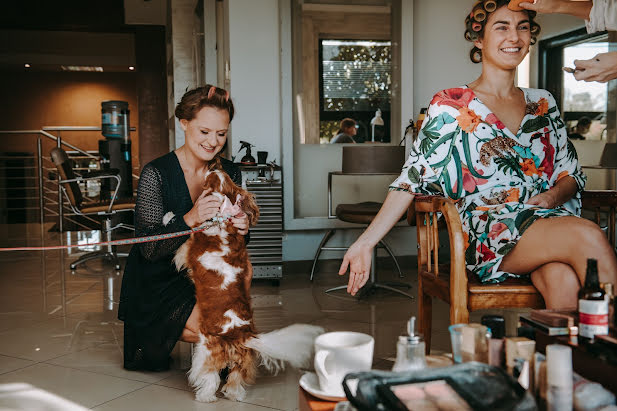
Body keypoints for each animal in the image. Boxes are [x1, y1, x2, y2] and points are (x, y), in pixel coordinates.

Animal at [171, 167, 320, 402]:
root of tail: (243, 335)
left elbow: (184, 238)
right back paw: (234, 395)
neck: (225, 218)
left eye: (211, 180)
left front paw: (169, 217)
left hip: (206, 349)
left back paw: (204, 396)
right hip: (240, 362)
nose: (213, 167)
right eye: (226, 178)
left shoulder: (190, 248)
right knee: (235, 381)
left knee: (210, 377)